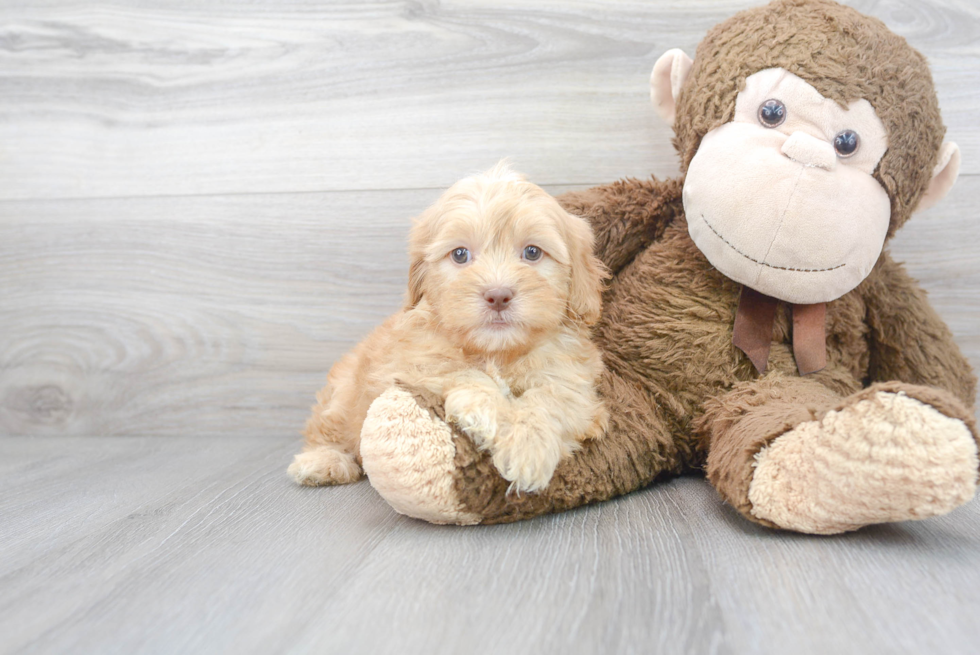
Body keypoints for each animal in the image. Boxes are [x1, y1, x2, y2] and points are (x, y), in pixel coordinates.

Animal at [286, 163, 604, 492]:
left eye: (532, 252)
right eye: (460, 254)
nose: (498, 295)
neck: (497, 352)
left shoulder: (573, 381)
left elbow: (553, 398)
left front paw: (528, 447)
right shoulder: (411, 366)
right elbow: (461, 372)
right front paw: (490, 413)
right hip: (343, 391)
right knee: (327, 428)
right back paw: (323, 461)